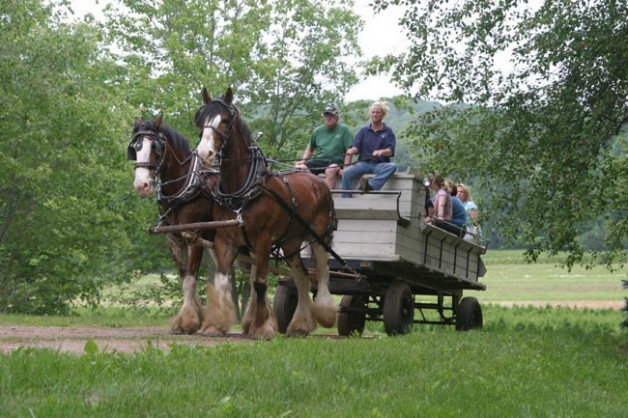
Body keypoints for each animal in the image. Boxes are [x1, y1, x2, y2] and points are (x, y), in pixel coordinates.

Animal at [126, 116, 217, 334]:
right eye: (135, 148)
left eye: (155, 147)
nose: (141, 185)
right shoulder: (174, 239)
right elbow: (184, 278)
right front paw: (191, 317)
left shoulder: (193, 236)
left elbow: (191, 278)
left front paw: (189, 320)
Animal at [194, 86, 338, 338]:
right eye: (201, 120)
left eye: (224, 120)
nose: (204, 153)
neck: (243, 190)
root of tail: (317, 182)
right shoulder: (225, 240)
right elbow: (221, 281)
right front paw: (216, 324)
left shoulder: (262, 240)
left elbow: (260, 283)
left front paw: (261, 327)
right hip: (291, 242)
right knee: (301, 276)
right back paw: (300, 325)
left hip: (318, 236)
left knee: (321, 273)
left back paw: (324, 313)